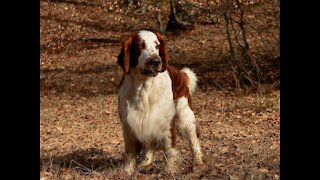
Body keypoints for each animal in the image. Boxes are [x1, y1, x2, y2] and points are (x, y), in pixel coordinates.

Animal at [117, 29, 202, 174]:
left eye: (157, 46)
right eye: (141, 45)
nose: (156, 61)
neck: (143, 87)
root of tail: (181, 74)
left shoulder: (166, 122)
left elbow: (169, 149)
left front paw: (170, 170)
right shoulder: (129, 124)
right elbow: (130, 152)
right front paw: (128, 170)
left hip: (186, 118)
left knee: (194, 141)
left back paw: (198, 163)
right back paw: (146, 163)